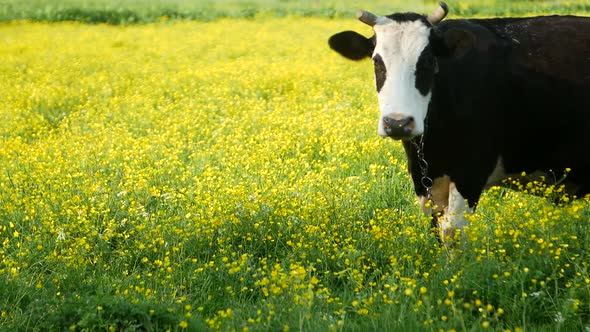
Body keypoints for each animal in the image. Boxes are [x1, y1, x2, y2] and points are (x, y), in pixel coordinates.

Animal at [328, 1, 590, 244]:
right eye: (376, 62)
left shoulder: (472, 170)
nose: (398, 123)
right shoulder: (426, 183)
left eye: (427, 61)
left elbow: (452, 232)